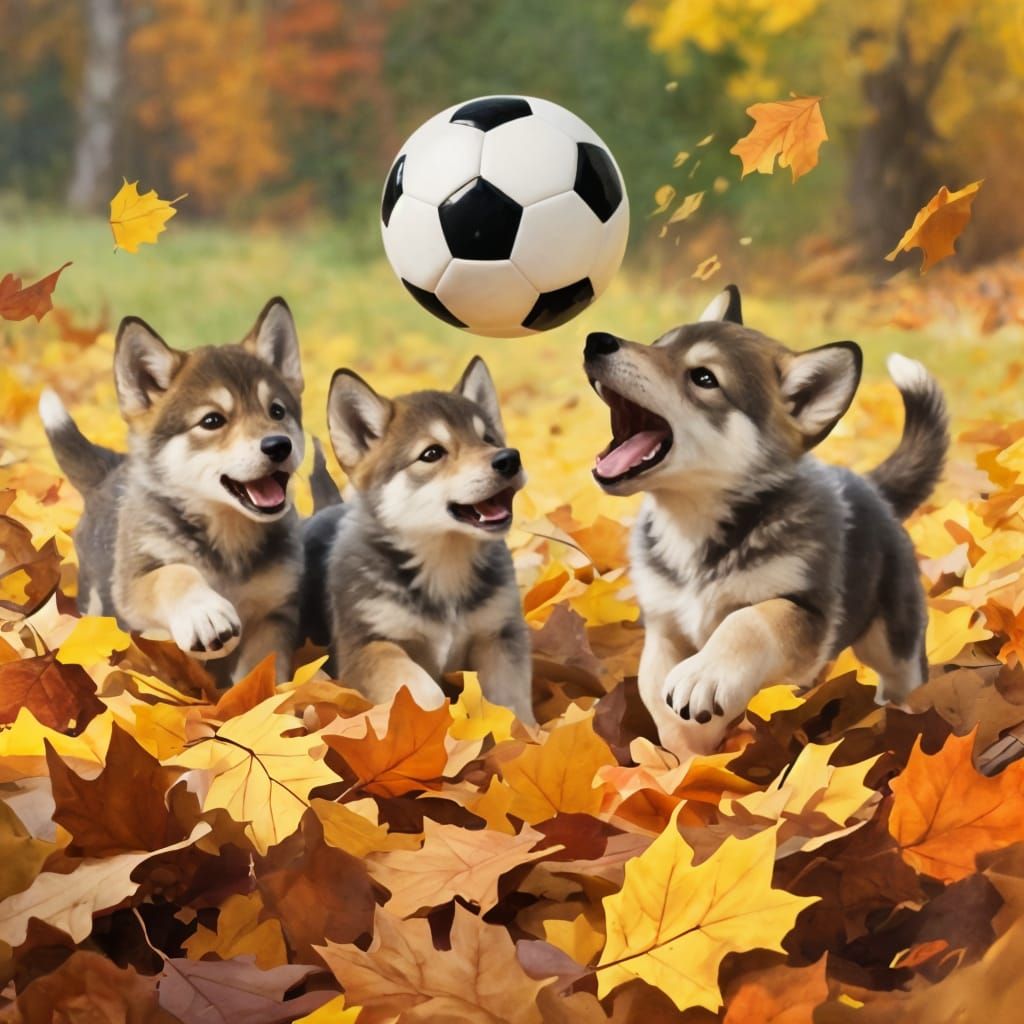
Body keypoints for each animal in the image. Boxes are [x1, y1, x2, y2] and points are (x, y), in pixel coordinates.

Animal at [40, 298, 306, 685]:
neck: (228, 539)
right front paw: (203, 611)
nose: (278, 446)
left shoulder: (273, 614)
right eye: (212, 421)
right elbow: (172, 575)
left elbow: (262, 675)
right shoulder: (133, 583)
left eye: (277, 411)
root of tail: (110, 469)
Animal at [301, 357, 534, 721]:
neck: (444, 564)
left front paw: (527, 731)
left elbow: (510, 701)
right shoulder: (366, 645)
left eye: (489, 439)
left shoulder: (499, 634)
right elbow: (420, 688)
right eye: (432, 453)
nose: (509, 458)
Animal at [583, 285, 949, 757]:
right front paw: (688, 755)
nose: (596, 341)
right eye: (658, 344)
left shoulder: (805, 609)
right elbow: (655, 687)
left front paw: (705, 675)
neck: (692, 527)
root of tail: (871, 486)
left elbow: (750, 620)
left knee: (905, 677)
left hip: (894, 640)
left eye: (704, 378)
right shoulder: (665, 625)